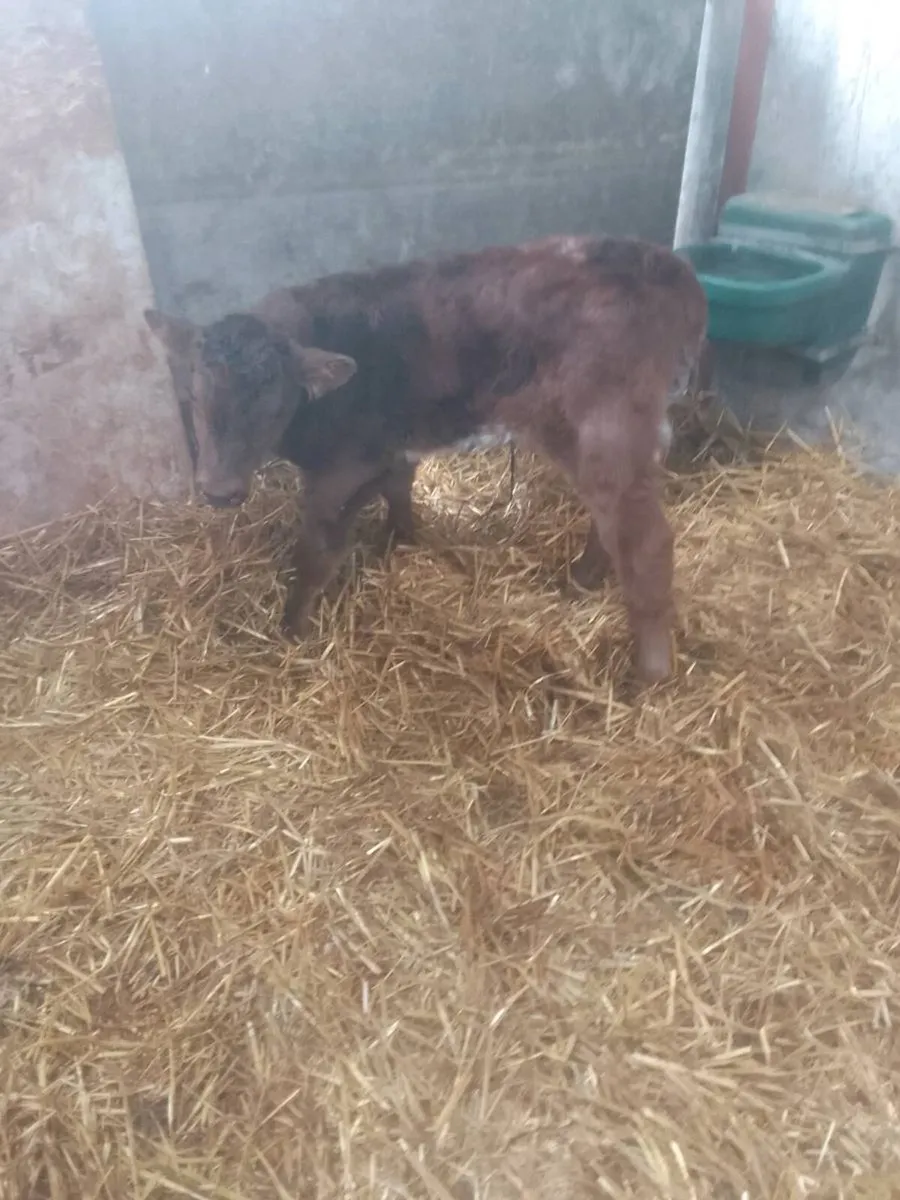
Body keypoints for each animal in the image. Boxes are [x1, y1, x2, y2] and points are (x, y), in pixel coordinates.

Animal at [145, 235, 707, 684]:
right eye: (193, 398)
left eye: (275, 405)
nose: (218, 490)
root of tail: (665, 265)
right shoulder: (391, 447)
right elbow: (399, 489)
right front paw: (401, 540)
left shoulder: (338, 471)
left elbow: (314, 550)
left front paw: (291, 630)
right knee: (611, 523)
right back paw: (580, 580)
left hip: (606, 430)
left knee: (645, 541)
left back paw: (648, 674)